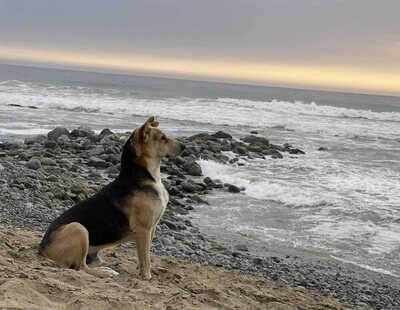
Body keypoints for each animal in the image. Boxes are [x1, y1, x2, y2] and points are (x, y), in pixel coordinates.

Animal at [38, 117, 185, 280]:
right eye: (162, 138)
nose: (184, 146)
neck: (145, 175)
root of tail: (42, 249)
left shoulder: (151, 229)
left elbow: (144, 255)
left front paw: (141, 269)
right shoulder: (144, 230)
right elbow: (146, 257)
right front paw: (147, 276)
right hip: (78, 228)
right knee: (80, 268)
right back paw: (105, 272)